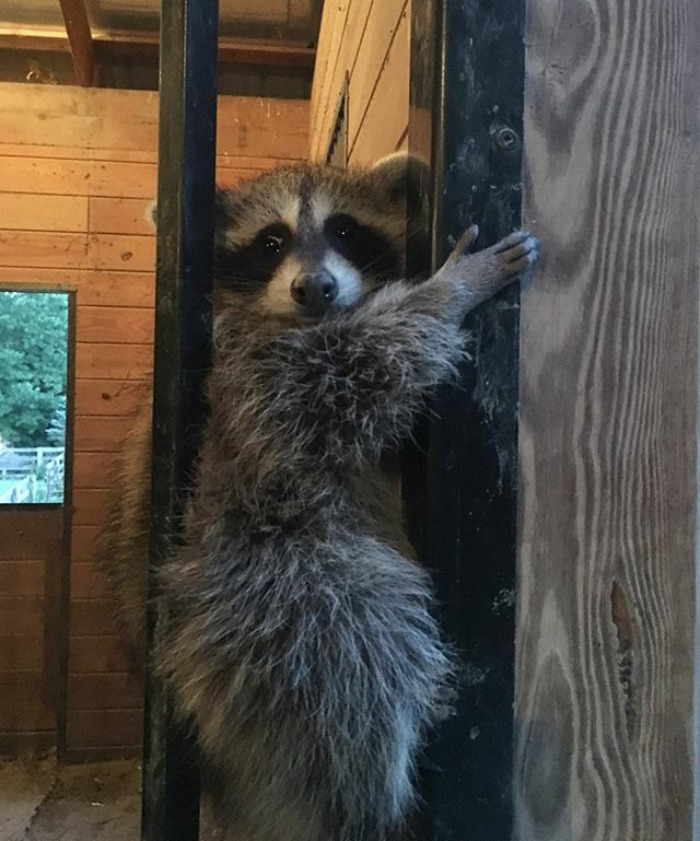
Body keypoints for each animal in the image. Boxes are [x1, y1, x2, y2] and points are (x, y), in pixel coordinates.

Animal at [99, 155, 538, 841]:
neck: (311, 323)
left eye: (345, 231)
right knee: (353, 633)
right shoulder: (245, 382)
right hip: (249, 588)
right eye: (270, 242)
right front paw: (446, 293)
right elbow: (343, 379)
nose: (316, 288)